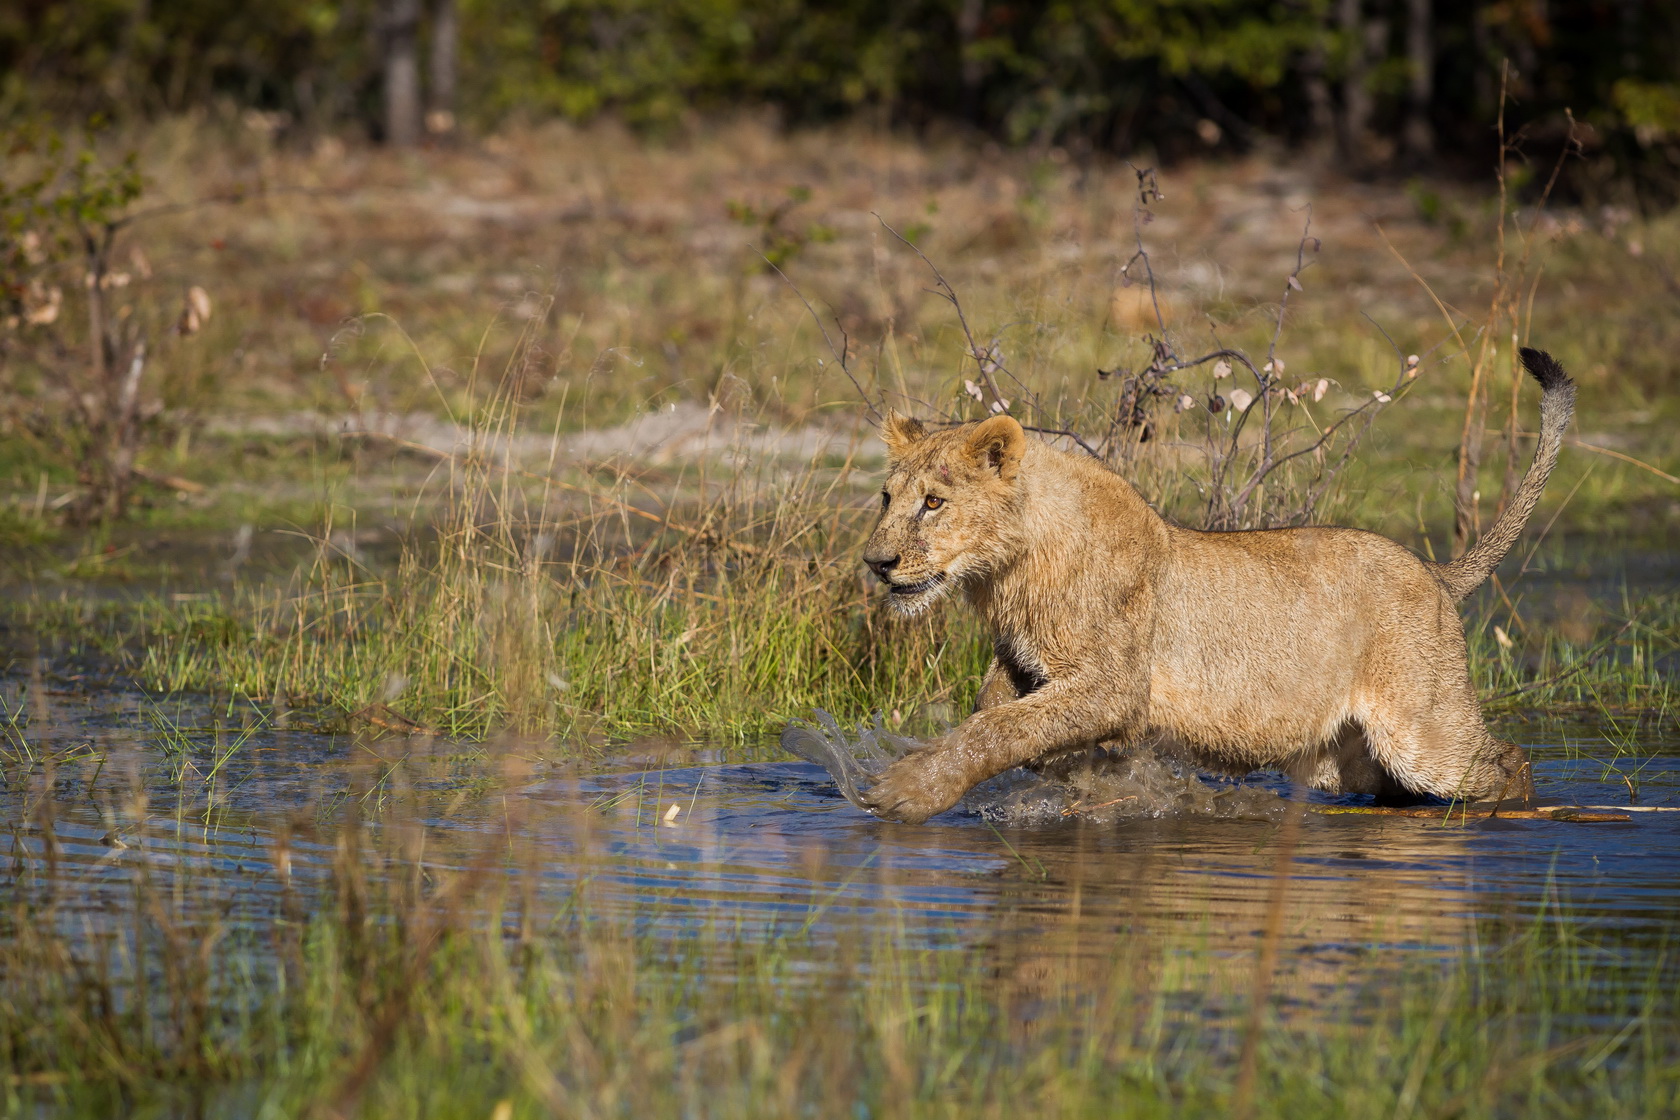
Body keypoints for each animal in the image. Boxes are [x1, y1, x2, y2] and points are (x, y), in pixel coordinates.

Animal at [855, 348, 1576, 824]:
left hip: (1423, 731)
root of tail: (1433, 571)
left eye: (934, 503)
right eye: (887, 496)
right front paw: (1079, 767)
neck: (1010, 573)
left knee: (1507, 761)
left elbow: (996, 731)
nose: (876, 562)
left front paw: (907, 789)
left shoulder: (1112, 686)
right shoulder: (1023, 664)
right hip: (1340, 758)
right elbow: (995, 714)